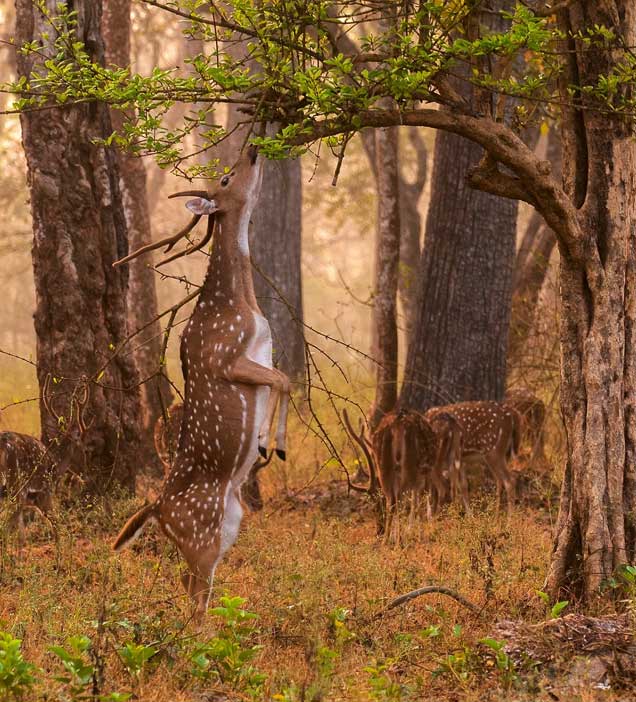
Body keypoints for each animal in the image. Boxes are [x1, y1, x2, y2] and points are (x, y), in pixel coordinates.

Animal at [114, 147, 290, 620]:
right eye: (226, 179)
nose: (254, 149)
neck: (241, 304)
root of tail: (156, 508)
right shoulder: (225, 358)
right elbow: (283, 380)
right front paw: (269, 442)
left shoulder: (261, 355)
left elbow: (284, 379)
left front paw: (267, 442)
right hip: (200, 533)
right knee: (193, 596)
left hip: (227, 526)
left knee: (191, 588)